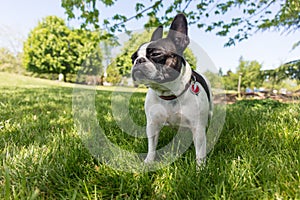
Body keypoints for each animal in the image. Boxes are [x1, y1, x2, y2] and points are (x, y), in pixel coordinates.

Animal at [131, 13, 213, 165]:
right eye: (132, 58)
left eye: (156, 54)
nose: (138, 61)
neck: (169, 93)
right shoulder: (152, 124)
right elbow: (152, 146)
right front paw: (148, 162)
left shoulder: (198, 128)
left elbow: (200, 153)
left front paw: (201, 169)